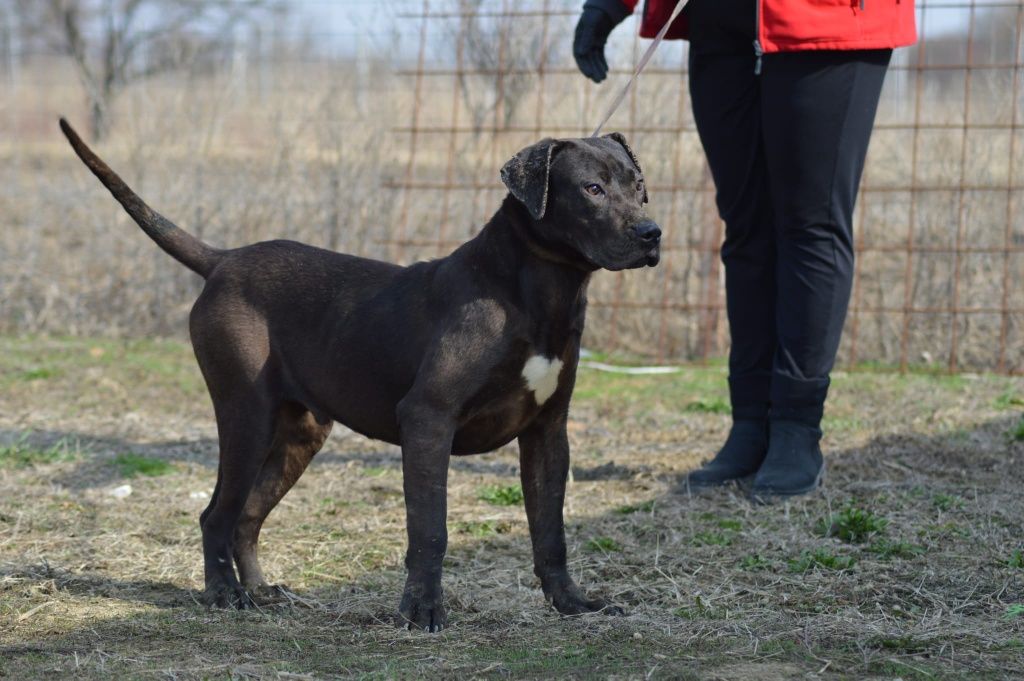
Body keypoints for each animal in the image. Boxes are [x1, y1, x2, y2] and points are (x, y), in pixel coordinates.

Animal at [59, 118, 659, 630]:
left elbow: (550, 532)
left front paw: (572, 605)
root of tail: (223, 259)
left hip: (300, 434)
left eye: (639, 185)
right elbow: (430, 529)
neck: (540, 291)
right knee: (216, 516)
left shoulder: (548, 432)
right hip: (245, 415)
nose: (653, 233)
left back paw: (261, 591)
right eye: (592, 189)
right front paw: (422, 612)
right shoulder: (428, 421)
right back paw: (225, 595)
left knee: (246, 517)